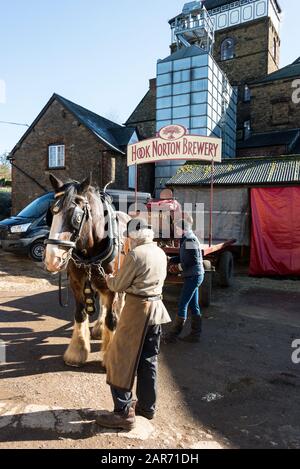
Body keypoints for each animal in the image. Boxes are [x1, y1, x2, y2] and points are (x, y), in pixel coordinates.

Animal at [44, 174, 130, 368]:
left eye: (76, 217)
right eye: (51, 213)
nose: (52, 260)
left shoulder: (113, 283)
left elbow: (111, 319)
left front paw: (110, 357)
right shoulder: (77, 282)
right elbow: (80, 313)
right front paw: (77, 351)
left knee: (118, 303)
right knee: (104, 303)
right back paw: (99, 328)